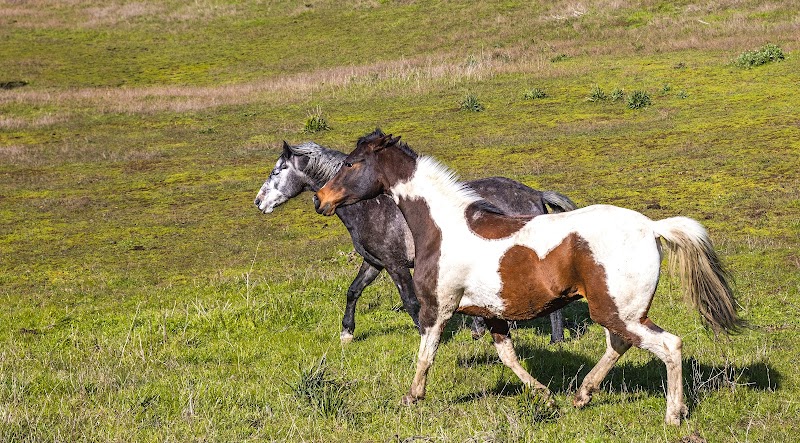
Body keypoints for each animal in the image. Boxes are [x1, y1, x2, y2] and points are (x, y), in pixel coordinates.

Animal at [254, 138, 578, 343]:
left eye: (277, 171)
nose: (258, 202)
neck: (371, 206)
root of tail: (534, 194)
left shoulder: (396, 265)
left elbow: (410, 301)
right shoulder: (374, 262)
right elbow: (353, 291)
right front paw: (347, 333)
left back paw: (556, 340)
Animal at [315, 129, 743, 425]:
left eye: (351, 163)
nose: (322, 199)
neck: (443, 227)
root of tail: (651, 227)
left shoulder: (438, 307)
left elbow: (426, 352)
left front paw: (411, 397)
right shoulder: (492, 314)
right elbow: (508, 356)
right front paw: (545, 396)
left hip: (617, 312)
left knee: (669, 345)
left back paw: (673, 415)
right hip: (618, 312)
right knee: (620, 344)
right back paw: (582, 396)